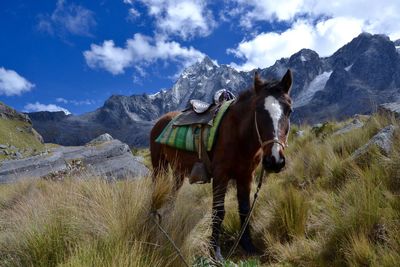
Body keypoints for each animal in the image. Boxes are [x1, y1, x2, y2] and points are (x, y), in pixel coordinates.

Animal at [150, 69, 294, 260]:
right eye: (257, 109)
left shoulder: (245, 176)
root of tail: (161, 120)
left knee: (173, 193)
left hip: (178, 171)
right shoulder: (220, 175)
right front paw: (215, 251)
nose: (275, 161)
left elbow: (244, 209)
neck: (239, 135)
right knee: (156, 187)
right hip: (158, 165)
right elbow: (218, 212)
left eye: (289, 110)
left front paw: (248, 245)